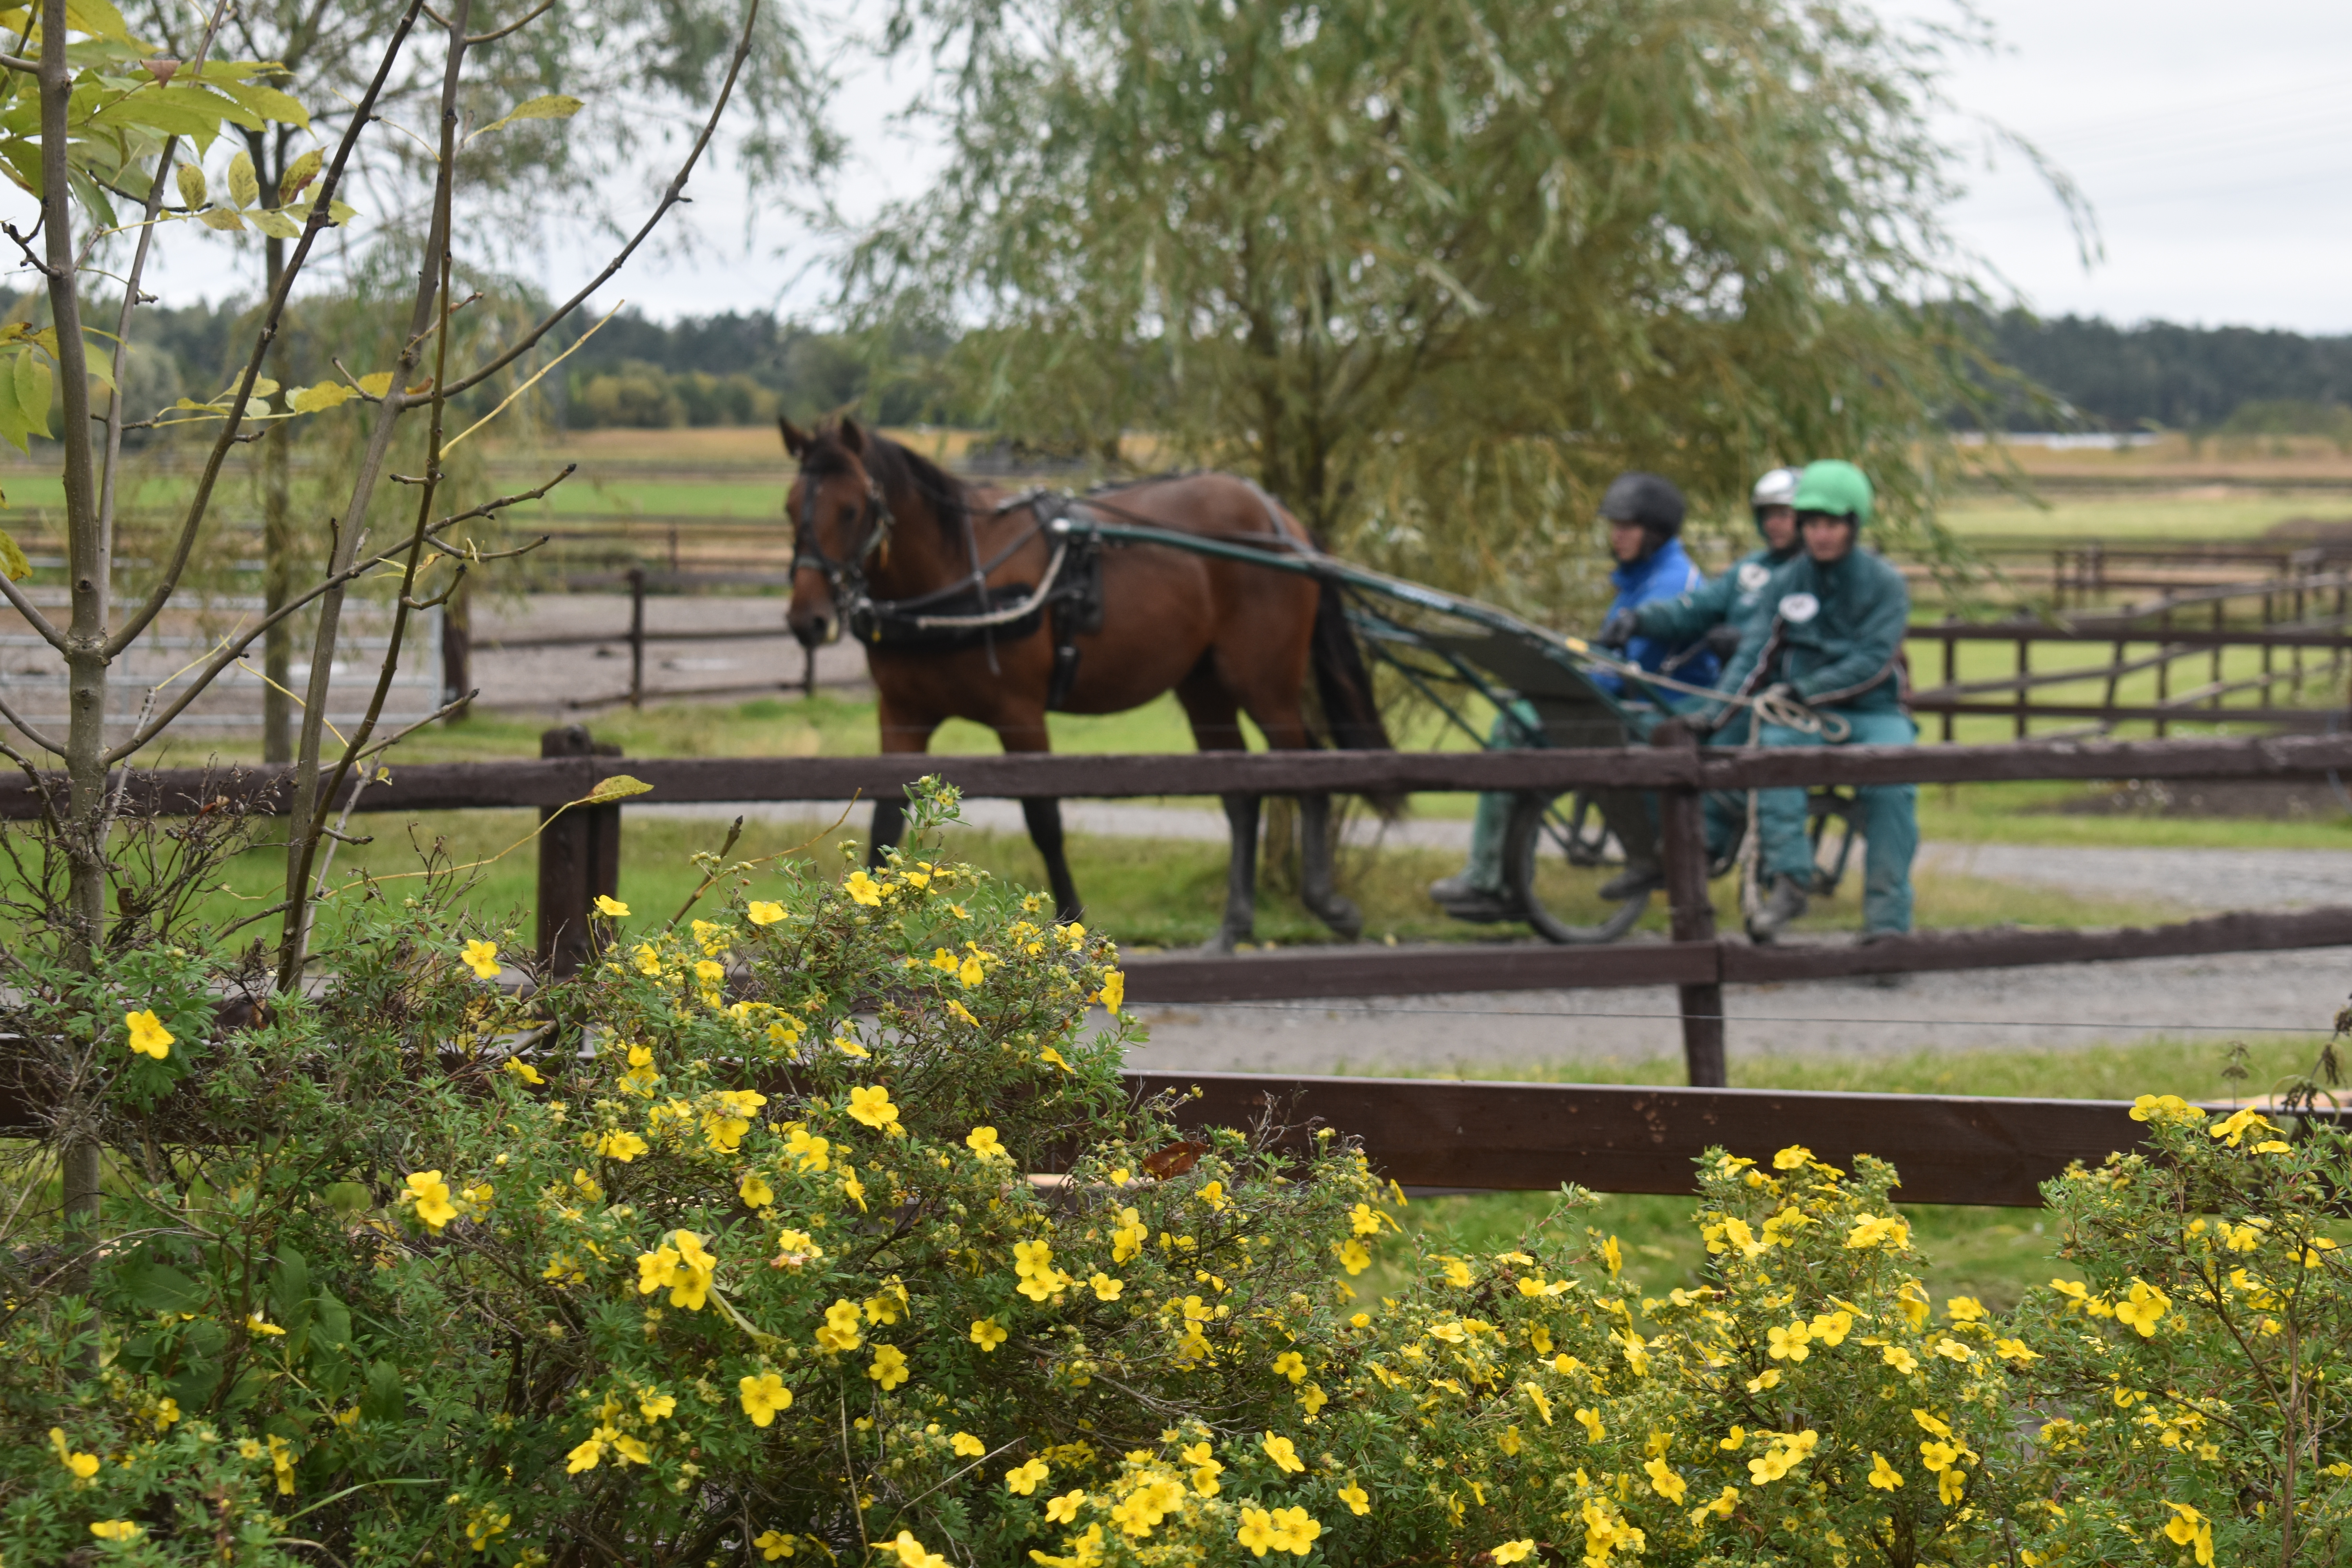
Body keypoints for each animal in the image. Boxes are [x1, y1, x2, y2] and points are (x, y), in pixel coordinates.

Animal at [781, 416, 1383, 949]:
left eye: (852, 508)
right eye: (790, 507)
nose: (808, 619)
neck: (957, 572)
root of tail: (1283, 522)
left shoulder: (1020, 715)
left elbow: (1044, 820)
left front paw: (1070, 918)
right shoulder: (903, 715)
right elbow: (885, 823)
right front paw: (865, 921)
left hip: (1265, 684)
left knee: (1310, 770)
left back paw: (1327, 903)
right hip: (1204, 686)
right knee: (1242, 795)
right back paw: (1233, 928)